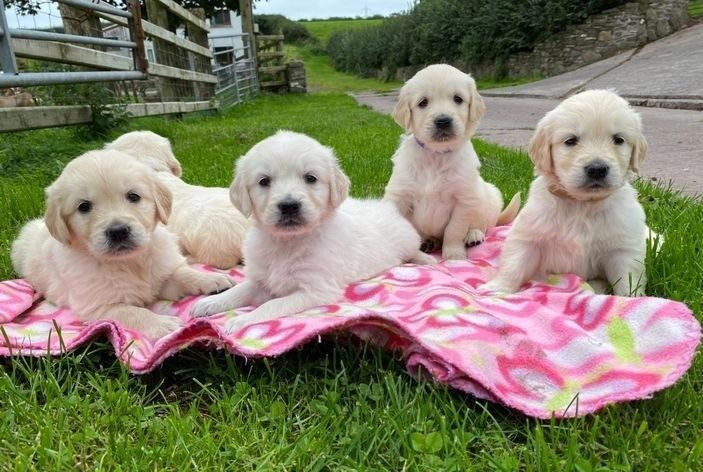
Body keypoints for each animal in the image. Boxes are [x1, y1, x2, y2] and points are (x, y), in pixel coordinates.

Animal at [9, 149, 234, 338]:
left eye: (133, 196)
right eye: (84, 206)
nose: (118, 231)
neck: (131, 262)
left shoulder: (161, 277)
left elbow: (182, 274)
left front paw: (212, 279)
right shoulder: (98, 307)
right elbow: (131, 312)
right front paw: (162, 324)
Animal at [192, 131, 434, 334]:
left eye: (310, 178)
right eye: (264, 181)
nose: (289, 205)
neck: (288, 242)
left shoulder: (316, 289)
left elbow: (273, 304)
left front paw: (241, 320)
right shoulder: (260, 279)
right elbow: (239, 290)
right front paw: (209, 303)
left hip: (407, 239)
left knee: (413, 251)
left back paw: (427, 259)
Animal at [382, 64, 520, 260]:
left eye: (458, 99)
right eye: (423, 102)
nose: (443, 121)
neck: (436, 155)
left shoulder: (464, 200)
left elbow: (453, 230)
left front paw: (454, 255)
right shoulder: (399, 195)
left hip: (491, 197)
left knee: (484, 225)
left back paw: (473, 235)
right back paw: (428, 241)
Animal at [482, 89, 656, 296]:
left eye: (618, 139)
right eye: (571, 141)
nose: (597, 169)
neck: (582, 204)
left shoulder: (622, 250)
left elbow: (628, 280)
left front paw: (632, 298)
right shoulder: (529, 236)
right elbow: (515, 263)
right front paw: (497, 288)